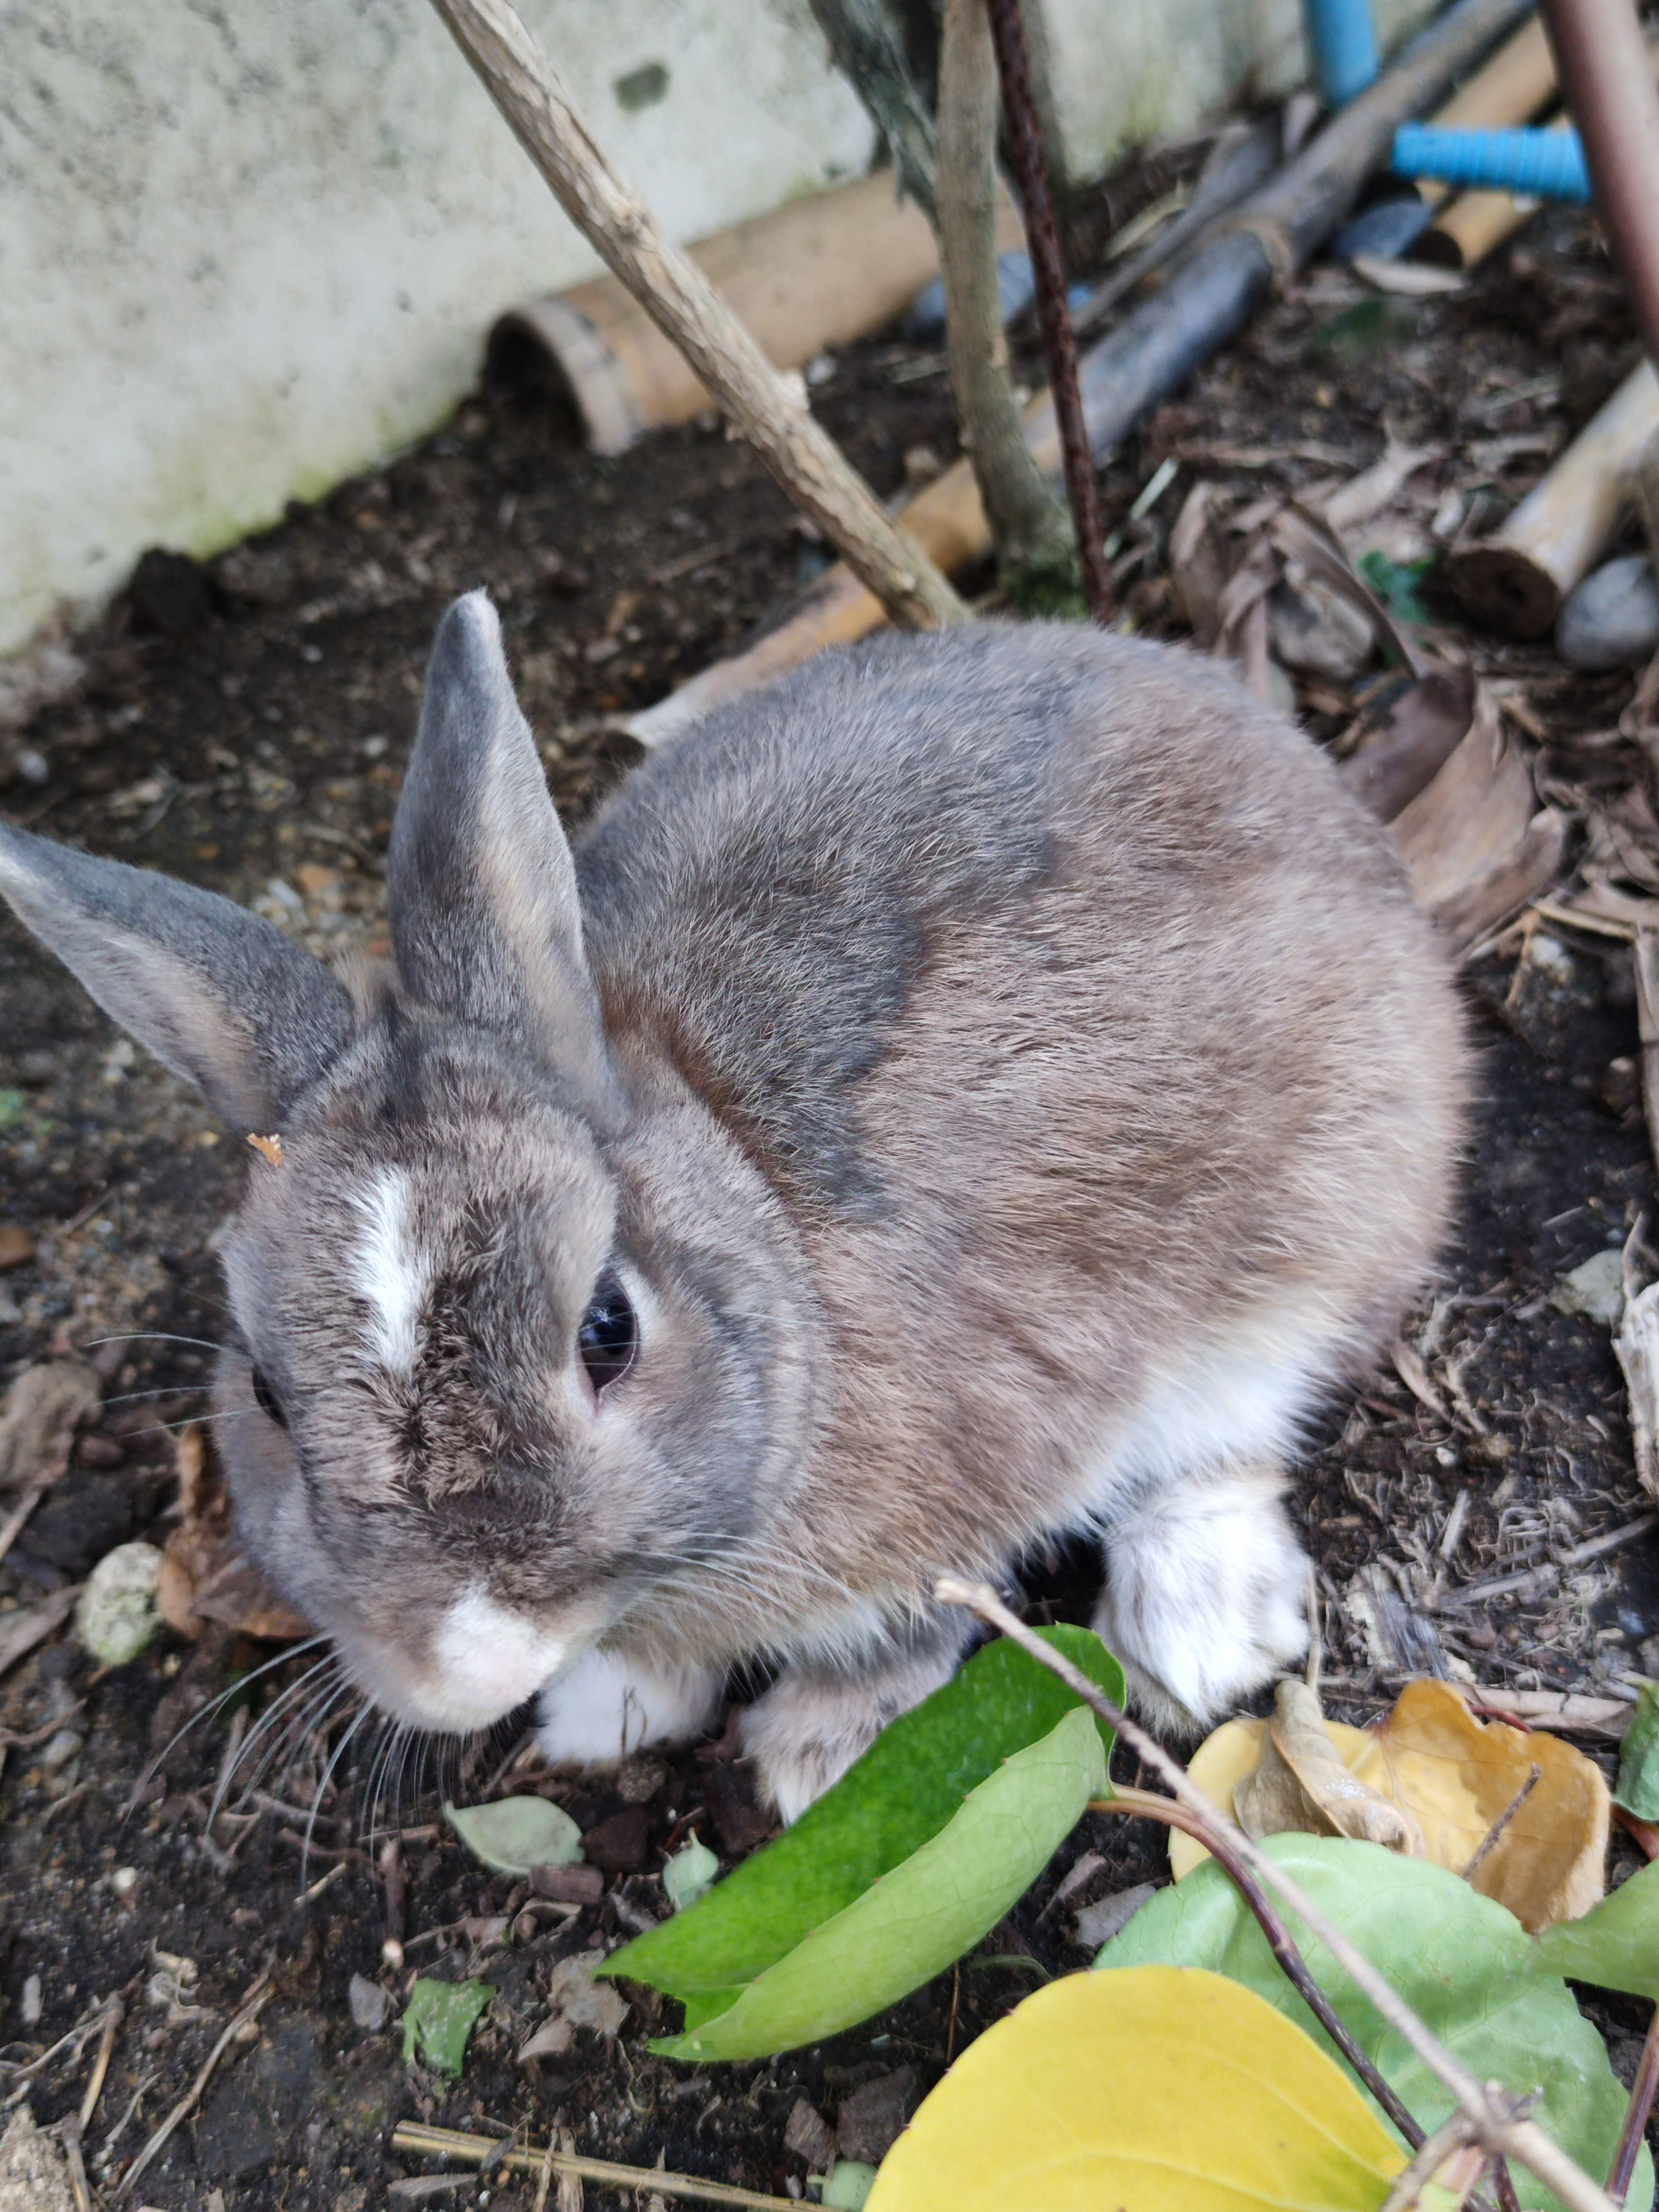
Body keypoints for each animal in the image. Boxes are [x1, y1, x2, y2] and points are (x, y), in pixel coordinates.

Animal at [0, 592, 1467, 1820]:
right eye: (263, 1392)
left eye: (607, 1329)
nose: (462, 1669)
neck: (757, 1216)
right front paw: (605, 1709)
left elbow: (912, 1615)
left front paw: (821, 1751)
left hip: (1316, 1225)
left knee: (1231, 1436)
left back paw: (1195, 1628)